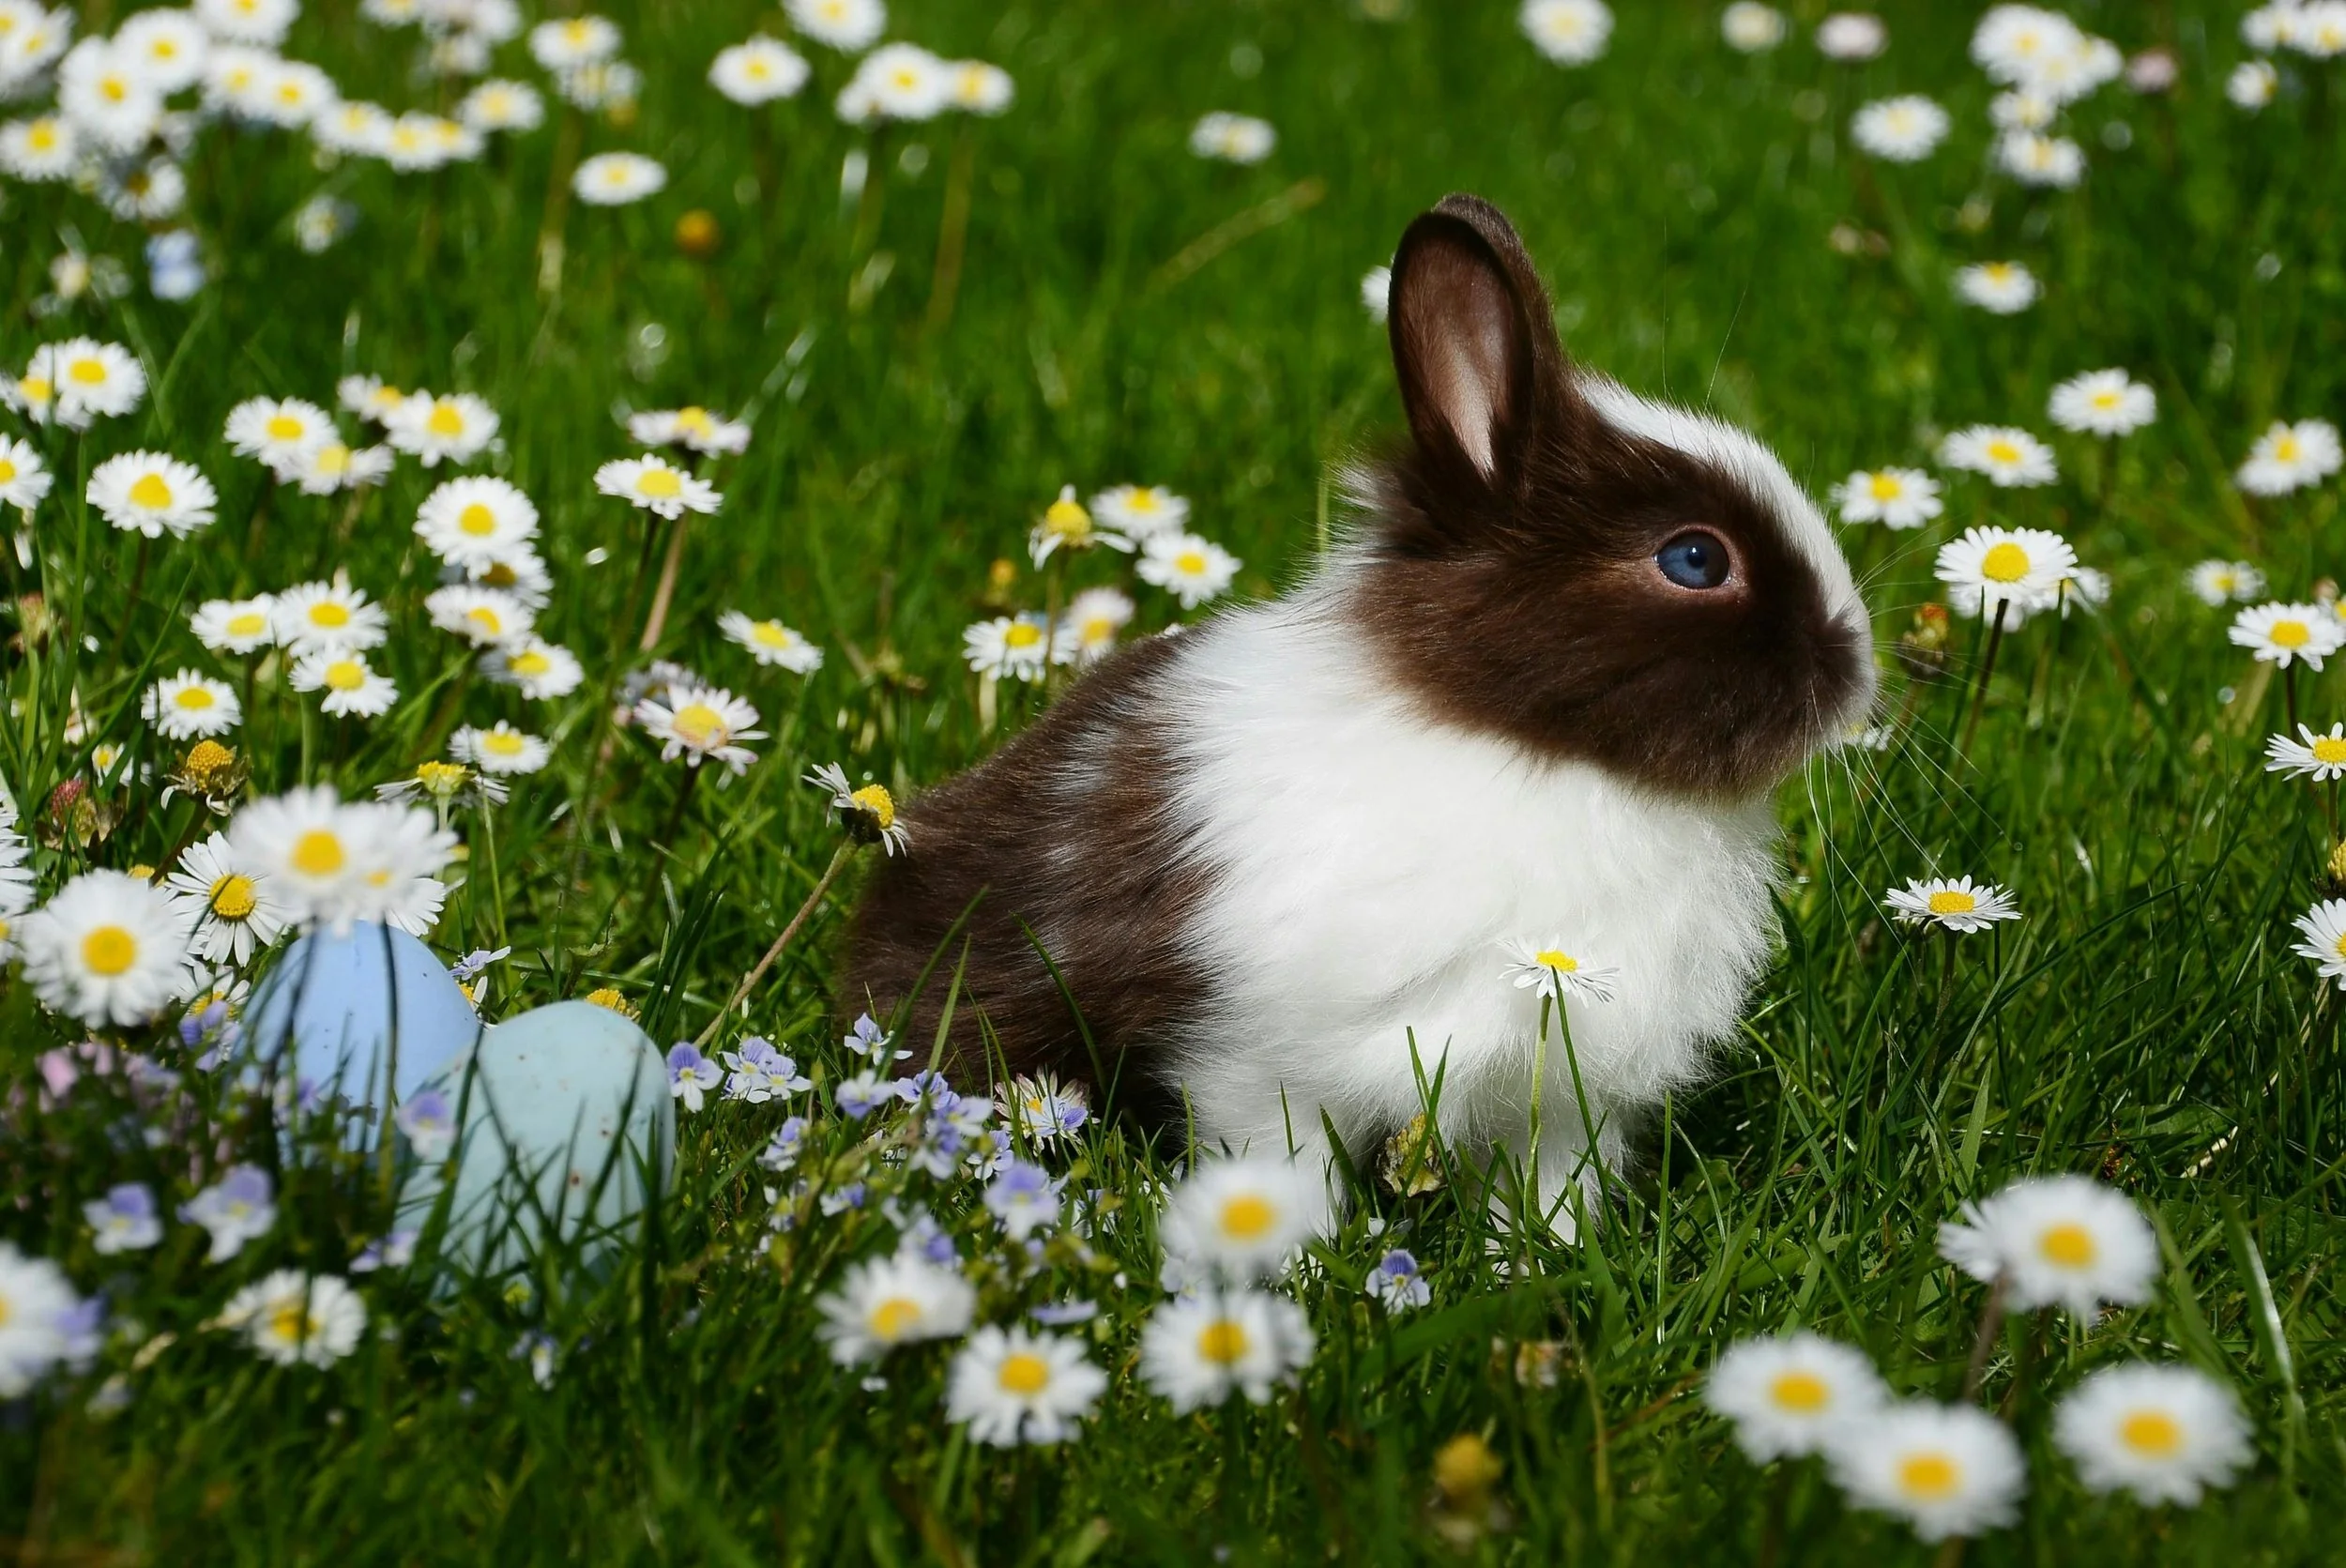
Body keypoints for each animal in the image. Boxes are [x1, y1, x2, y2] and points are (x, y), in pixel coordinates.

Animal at [842, 194, 1876, 1235]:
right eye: (1695, 560)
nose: (1858, 670)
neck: (1533, 751)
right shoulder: (1261, 1062)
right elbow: (1277, 1173)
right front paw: (1291, 1260)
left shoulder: (1558, 1095)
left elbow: (1547, 1190)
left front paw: (1539, 1256)